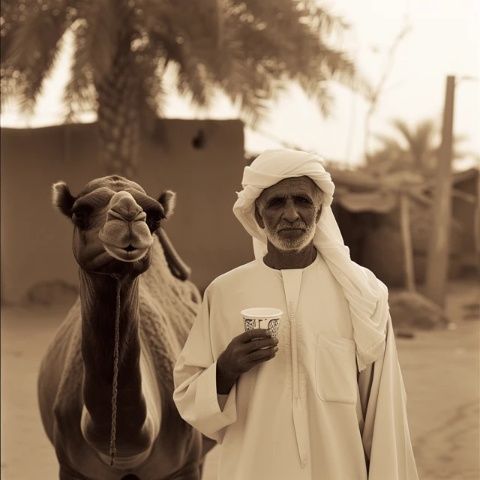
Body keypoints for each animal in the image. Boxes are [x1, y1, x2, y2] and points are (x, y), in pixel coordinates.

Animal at [38, 177, 215, 480]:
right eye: (79, 213)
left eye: (155, 216)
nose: (129, 213)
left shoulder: (184, 466)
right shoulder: (72, 467)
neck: (124, 456)